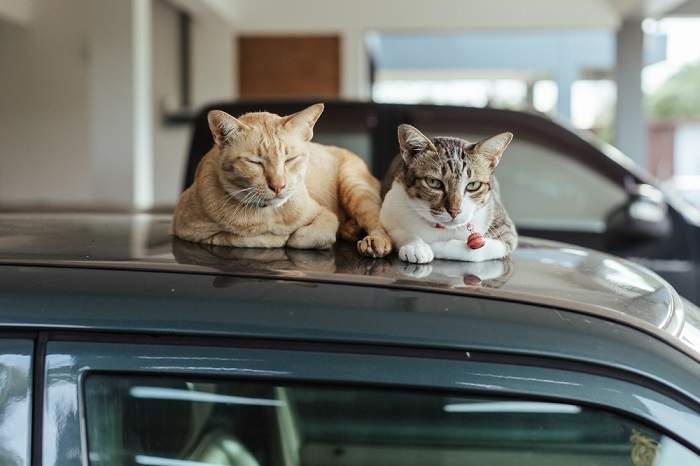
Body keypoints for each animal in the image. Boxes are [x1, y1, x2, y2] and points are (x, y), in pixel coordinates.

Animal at [174, 103, 394, 258]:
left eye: (289, 160)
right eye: (255, 162)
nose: (278, 186)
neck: (268, 214)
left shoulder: (325, 216)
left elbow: (300, 237)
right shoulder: (186, 230)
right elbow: (239, 238)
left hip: (354, 186)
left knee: (378, 224)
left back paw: (371, 240)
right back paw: (351, 229)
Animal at [380, 124, 516, 262]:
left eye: (473, 185)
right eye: (434, 182)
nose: (454, 211)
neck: (442, 228)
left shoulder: (506, 229)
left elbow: (480, 250)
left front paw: (435, 246)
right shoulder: (389, 210)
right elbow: (395, 231)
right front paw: (415, 246)